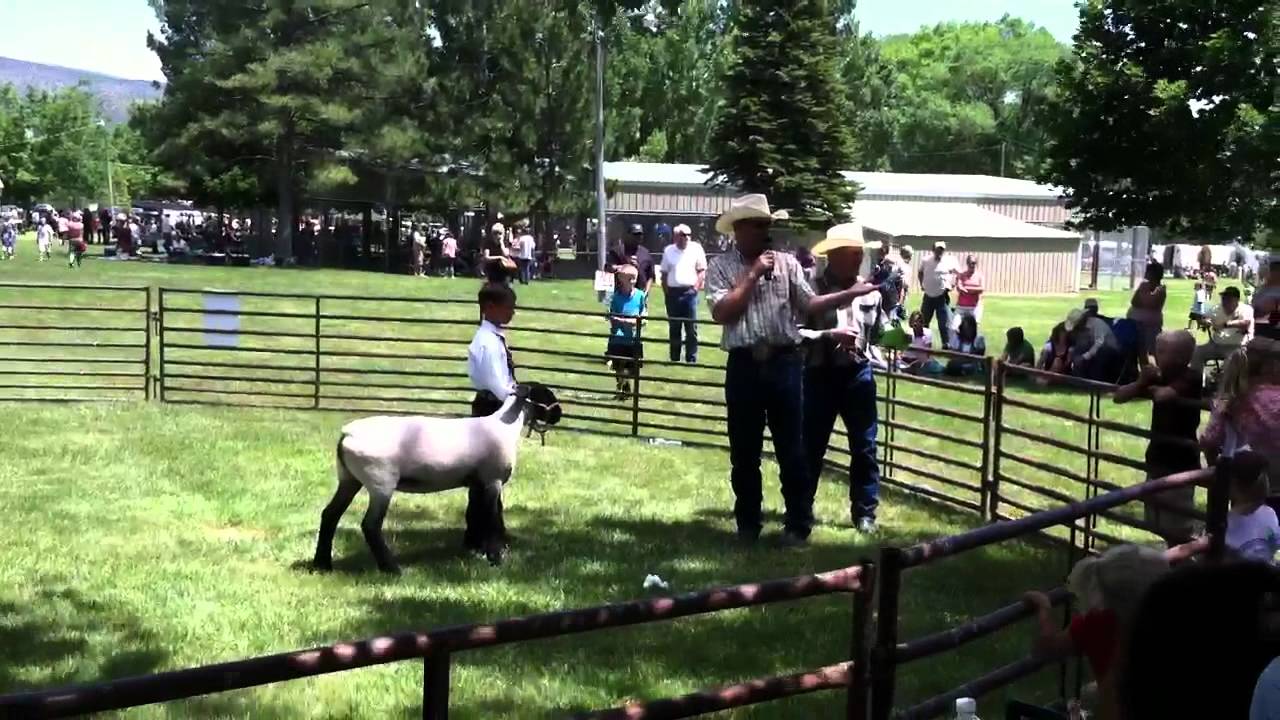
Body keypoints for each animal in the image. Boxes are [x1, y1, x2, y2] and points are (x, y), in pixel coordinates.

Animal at [312, 382, 561, 574]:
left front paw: (479, 551)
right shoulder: (493, 480)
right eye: (545, 394)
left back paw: (322, 564)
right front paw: (496, 558)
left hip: (348, 479)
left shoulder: (478, 483)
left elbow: (478, 514)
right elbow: (491, 518)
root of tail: (347, 434)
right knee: (370, 525)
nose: (559, 414)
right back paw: (391, 569)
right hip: (380, 481)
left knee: (330, 514)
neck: (504, 427)